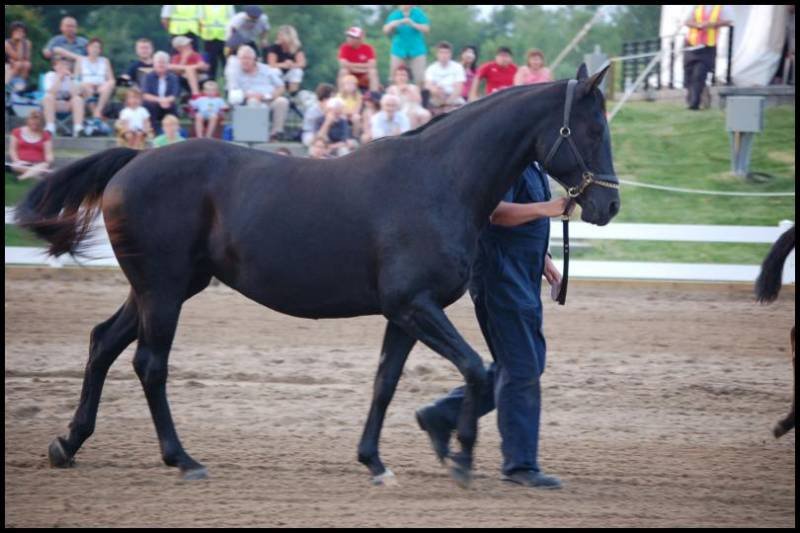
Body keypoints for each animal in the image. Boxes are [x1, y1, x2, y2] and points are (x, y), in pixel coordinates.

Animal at [16, 64, 620, 485]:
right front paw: (462, 459)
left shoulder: (404, 314)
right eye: (591, 130)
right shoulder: (416, 306)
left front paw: (375, 462)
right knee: (149, 364)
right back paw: (183, 460)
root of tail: (133, 161)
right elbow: (474, 368)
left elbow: (384, 382)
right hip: (163, 291)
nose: (608, 206)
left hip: (159, 288)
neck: (439, 179)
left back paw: (67, 444)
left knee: (103, 343)